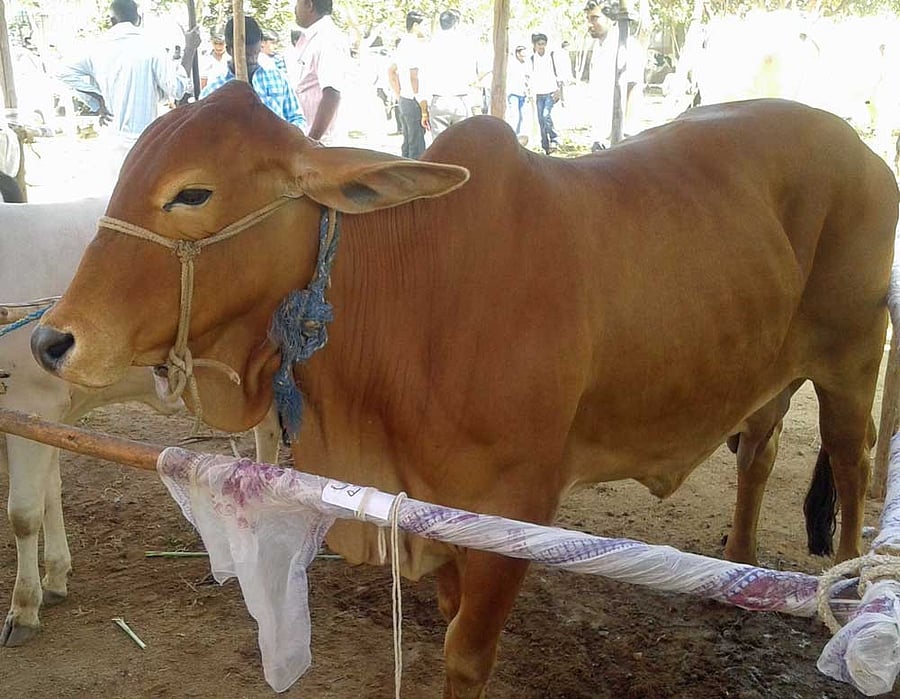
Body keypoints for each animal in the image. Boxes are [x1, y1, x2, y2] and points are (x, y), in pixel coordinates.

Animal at [0, 198, 281, 646]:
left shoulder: (33, 400)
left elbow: (23, 513)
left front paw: (24, 609)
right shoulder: (38, 419)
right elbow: (49, 494)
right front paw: (56, 577)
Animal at [31, 82, 897, 697]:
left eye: (192, 193)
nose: (49, 339)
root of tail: (862, 148)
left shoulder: (518, 507)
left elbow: (466, 655)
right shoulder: (434, 509)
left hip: (853, 355)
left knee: (853, 465)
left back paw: (849, 604)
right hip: (768, 368)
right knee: (759, 451)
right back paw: (739, 571)